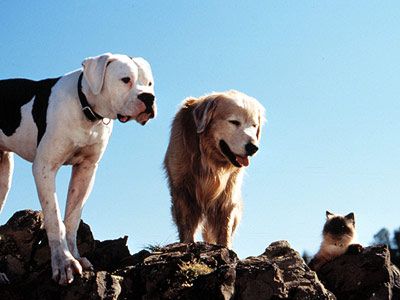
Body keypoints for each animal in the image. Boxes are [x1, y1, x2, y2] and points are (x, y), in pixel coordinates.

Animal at [0, 52, 156, 284]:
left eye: (149, 83)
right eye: (125, 79)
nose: (149, 98)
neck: (86, 109)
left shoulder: (86, 170)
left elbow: (72, 218)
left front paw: (75, 256)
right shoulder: (44, 167)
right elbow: (55, 218)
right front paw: (64, 263)